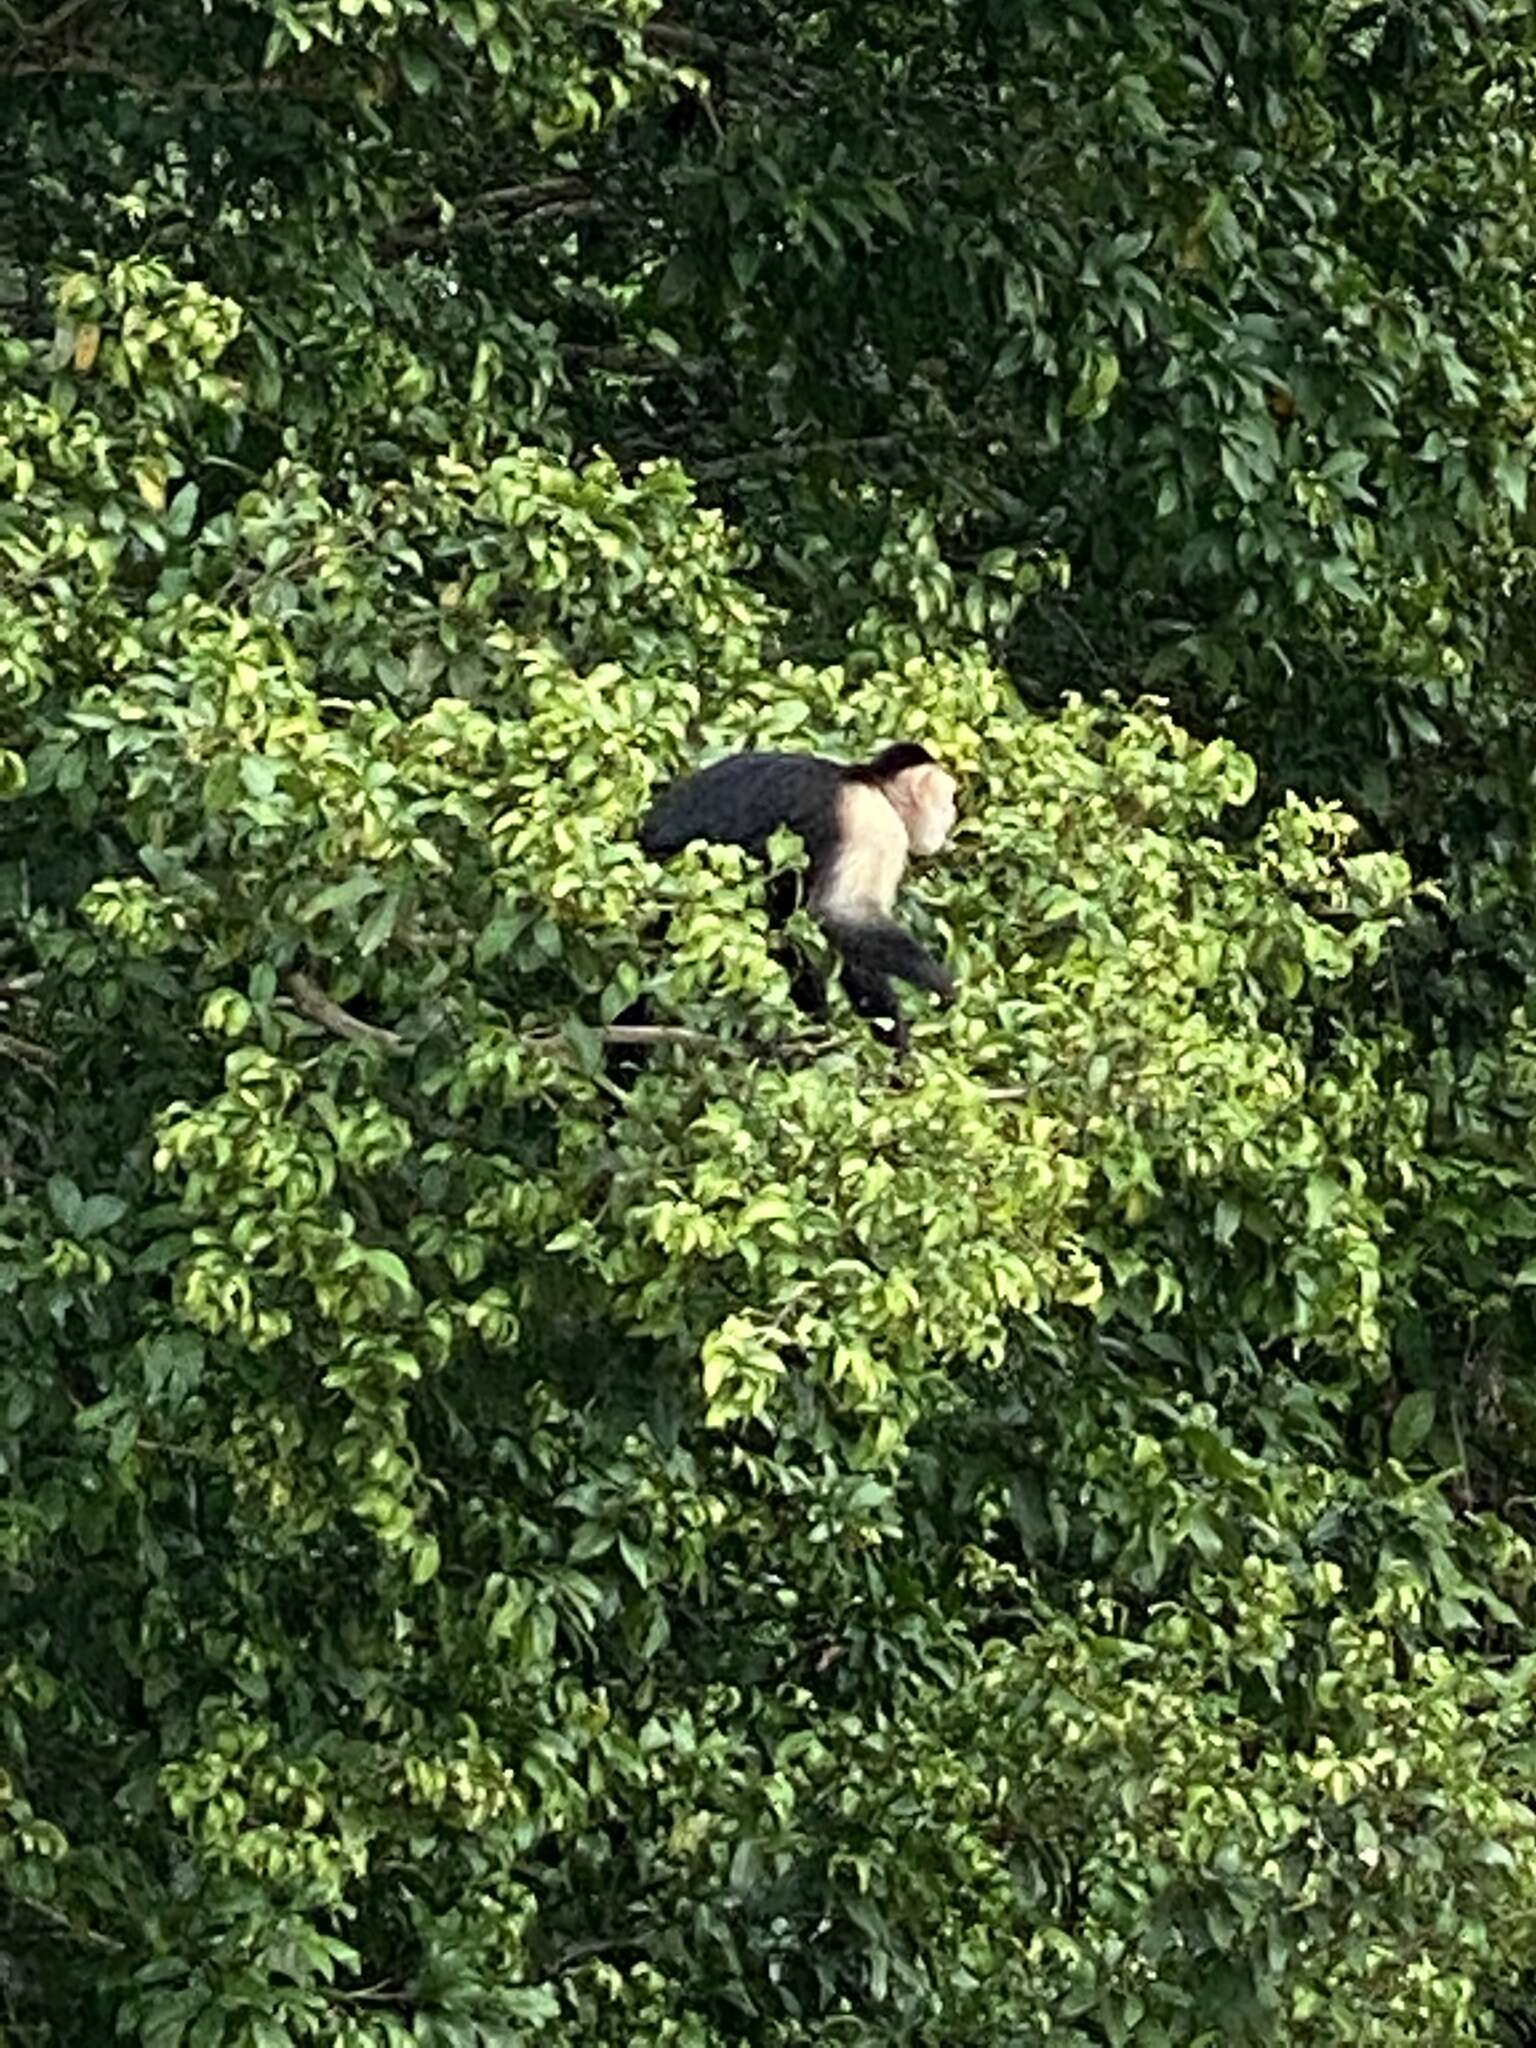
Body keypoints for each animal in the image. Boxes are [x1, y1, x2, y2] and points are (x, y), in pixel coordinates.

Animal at [638, 745, 962, 1048]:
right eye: (946, 801)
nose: (952, 816)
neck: (873, 784)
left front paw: (893, 1043)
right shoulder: (873, 819)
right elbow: (840, 913)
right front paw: (941, 983)